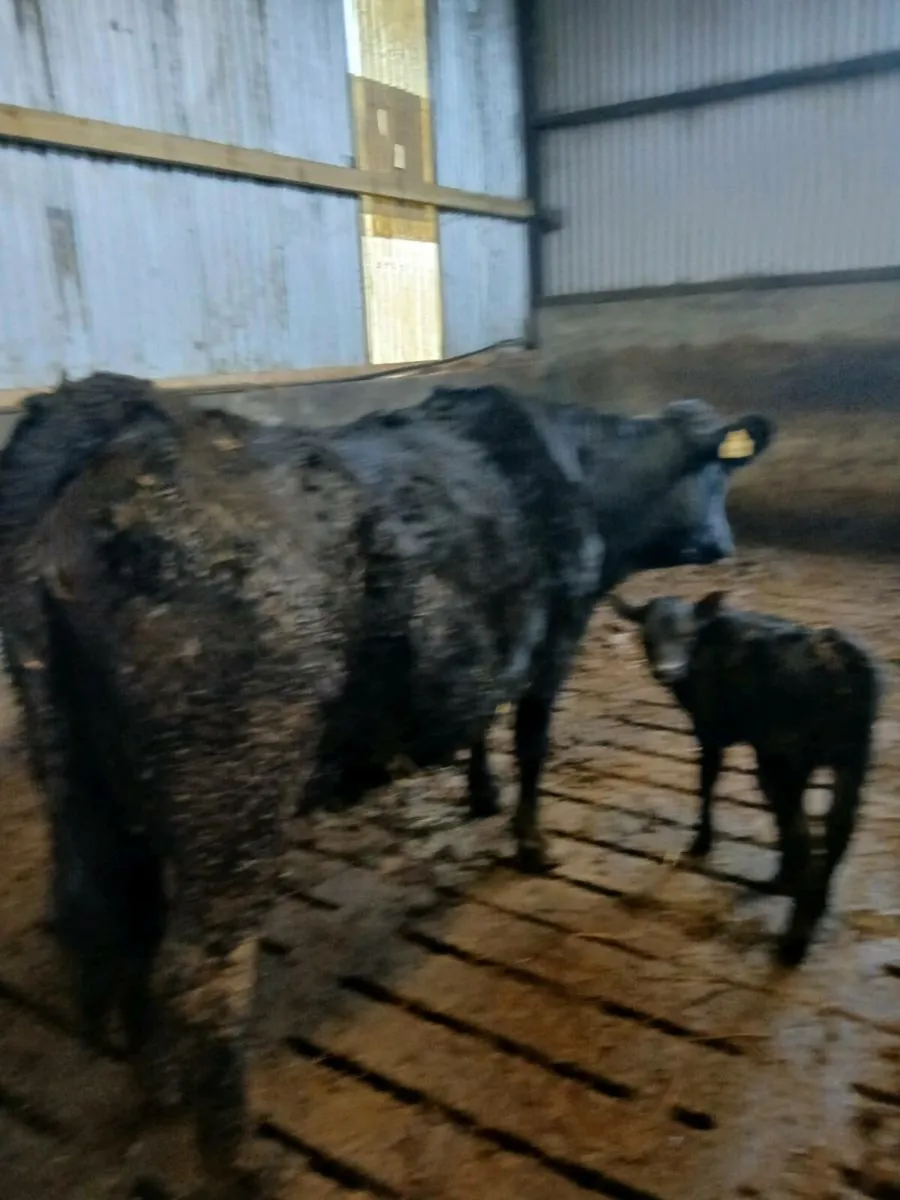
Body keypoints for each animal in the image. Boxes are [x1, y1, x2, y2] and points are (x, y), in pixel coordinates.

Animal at [0, 375, 774, 1192]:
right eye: (720, 472)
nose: (725, 544)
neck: (579, 469)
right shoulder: (560, 629)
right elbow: (532, 740)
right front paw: (532, 842)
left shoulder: (489, 641)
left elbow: (481, 720)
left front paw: (482, 794)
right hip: (235, 790)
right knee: (200, 975)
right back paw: (239, 1157)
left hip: (88, 780)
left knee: (123, 921)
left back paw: (157, 1086)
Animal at [609, 589, 881, 966]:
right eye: (646, 637)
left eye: (687, 634)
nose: (668, 671)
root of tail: (838, 658)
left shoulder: (708, 728)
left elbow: (707, 780)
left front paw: (701, 842)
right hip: (852, 758)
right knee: (836, 830)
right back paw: (803, 899)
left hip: (786, 758)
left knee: (802, 831)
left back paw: (793, 938)